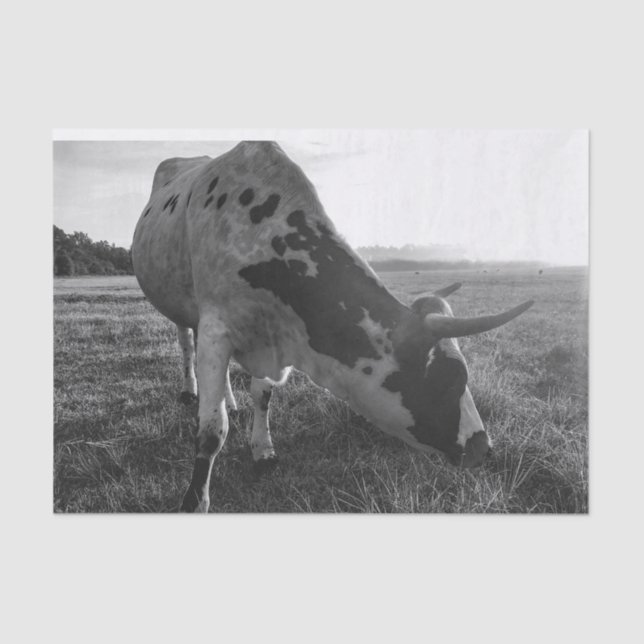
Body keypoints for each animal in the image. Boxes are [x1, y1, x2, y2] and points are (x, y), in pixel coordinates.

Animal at [131, 141, 533, 512]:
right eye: (451, 379)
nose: (483, 447)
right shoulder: (218, 327)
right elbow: (212, 430)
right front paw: (195, 500)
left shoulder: (268, 333)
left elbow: (262, 396)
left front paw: (262, 448)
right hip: (181, 307)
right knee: (187, 344)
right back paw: (191, 390)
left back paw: (230, 398)